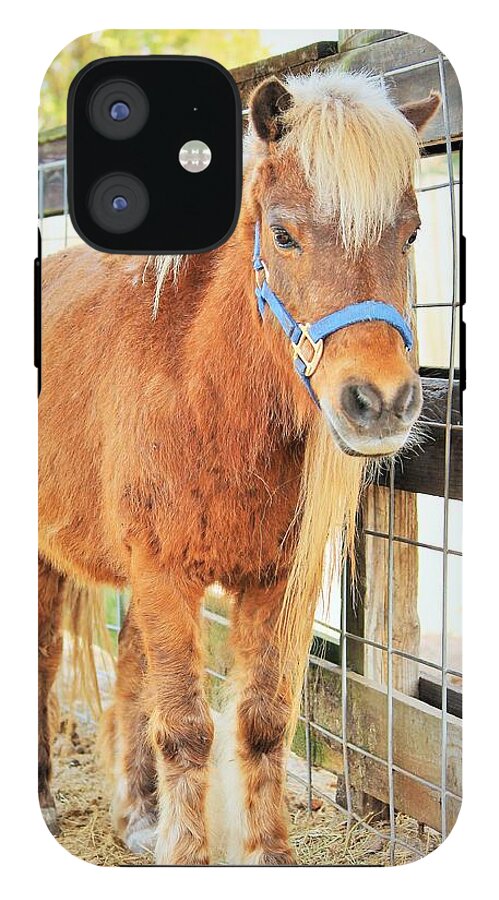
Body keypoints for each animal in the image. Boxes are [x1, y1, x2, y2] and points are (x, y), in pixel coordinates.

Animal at [38, 68, 440, 864]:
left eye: (410, 233)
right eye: (282, 234)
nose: (380, 402)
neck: (202, 392)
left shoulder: (274, 582)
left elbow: (260, 721)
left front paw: (266, 854)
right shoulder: (164, 572)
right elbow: (187, 728)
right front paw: (190, 855)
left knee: (129, 670)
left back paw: (137, 813)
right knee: (43, 662)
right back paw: (43, 798)